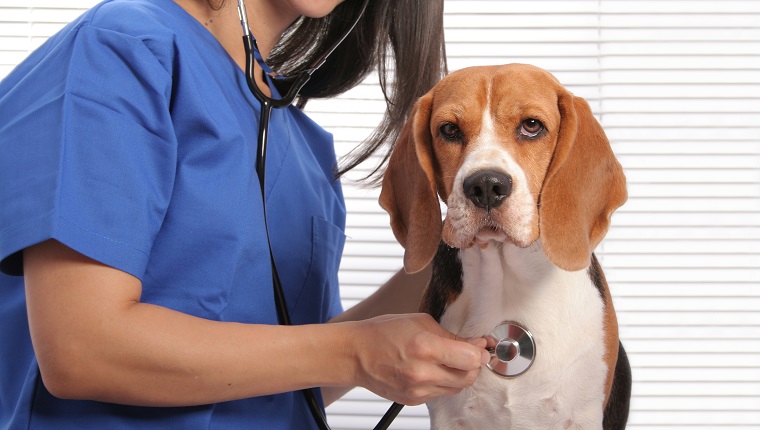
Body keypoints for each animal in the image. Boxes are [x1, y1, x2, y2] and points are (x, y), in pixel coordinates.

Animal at [382, 64, 632, 430]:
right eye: (449, 130)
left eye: (531, 126)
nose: (486, 185)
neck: (508, 283)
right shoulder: (447, 417)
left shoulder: (582, 415)